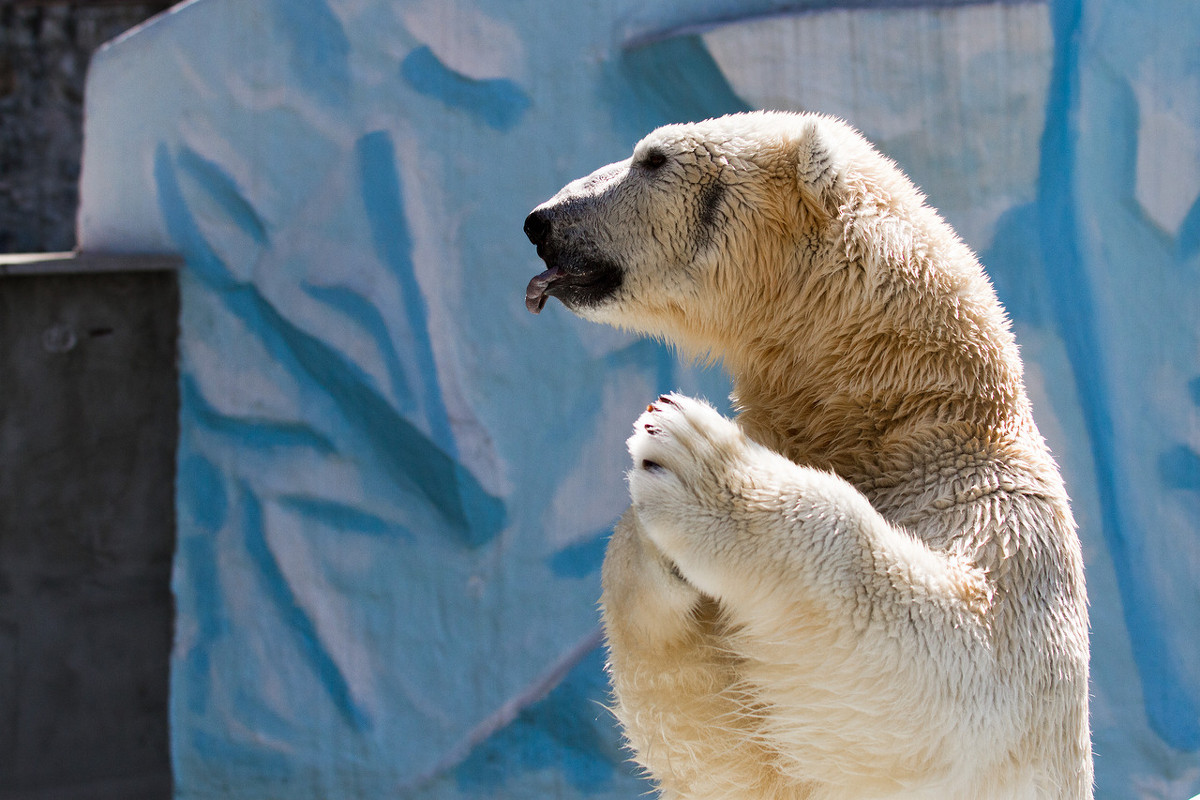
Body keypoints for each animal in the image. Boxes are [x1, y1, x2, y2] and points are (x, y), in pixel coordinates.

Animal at [520, 113, 1094, 800]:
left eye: (652, 159)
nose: (541, 221)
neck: (887, 406)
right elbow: (728, 749)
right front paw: (654, 547)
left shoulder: (998, 510)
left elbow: (962, 667)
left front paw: (692, 458)